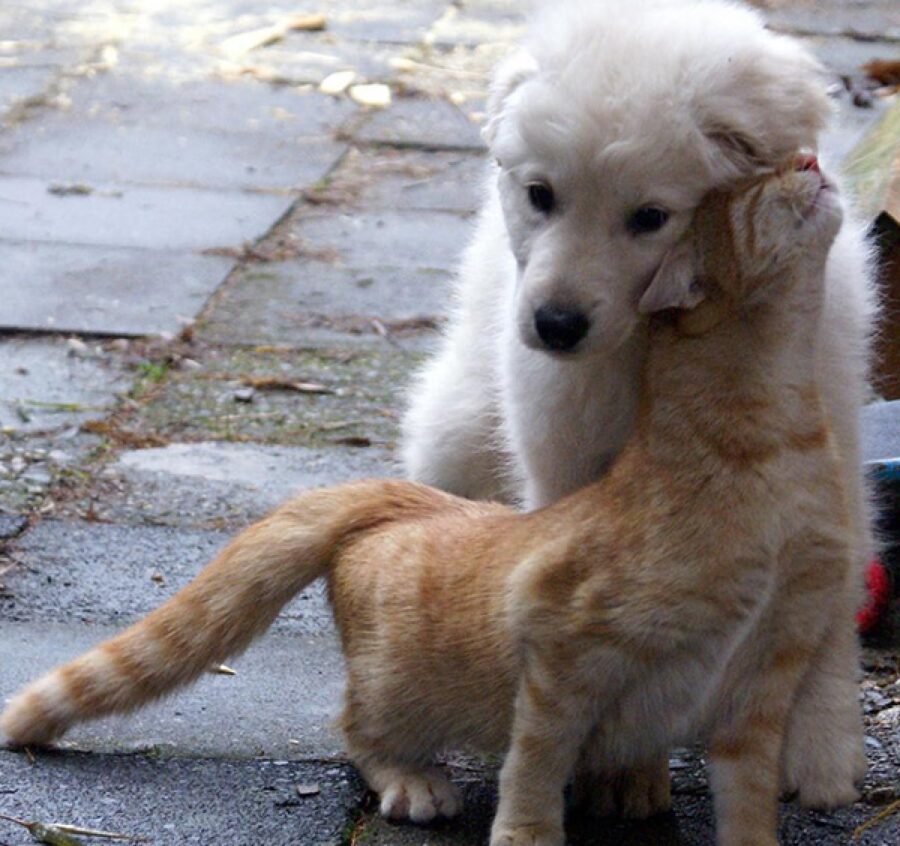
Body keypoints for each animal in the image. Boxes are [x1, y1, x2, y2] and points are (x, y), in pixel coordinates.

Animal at [3, 161, 852, 846]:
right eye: (754, 190)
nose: (812, 161)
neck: (779, 447)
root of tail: (409, 501)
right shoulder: (562, 644)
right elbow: (535, 761)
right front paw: (527, 834)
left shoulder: (766, 678)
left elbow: (747, 798)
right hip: (399, 688)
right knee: (356, 728)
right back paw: (413, 779)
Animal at [402, 0, 880, 820]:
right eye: (541, 195)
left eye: (650, 216)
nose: (555, 326)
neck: (658, 343)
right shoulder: (565, 462)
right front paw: (621, 769)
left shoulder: (831, 449)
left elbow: (826, 607)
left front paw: (821, 746)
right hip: (459, 428)